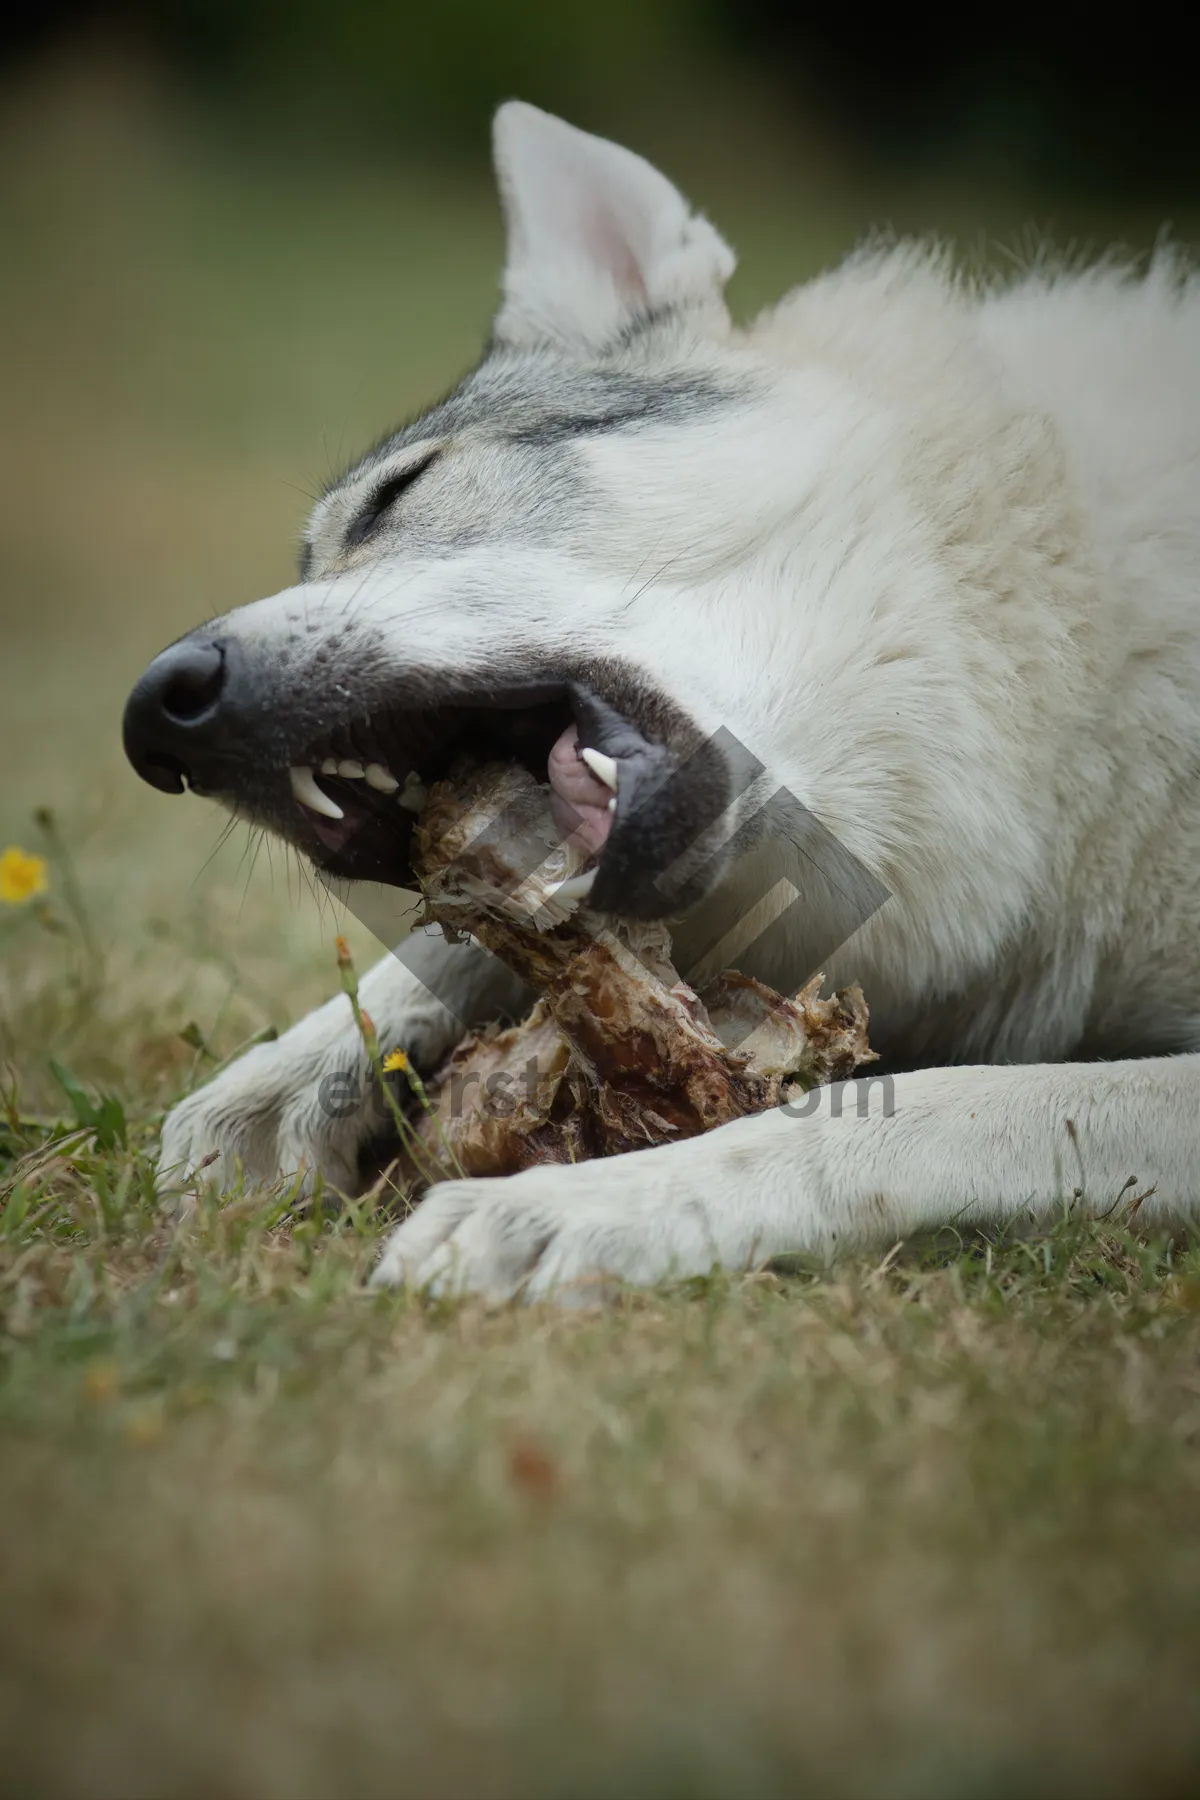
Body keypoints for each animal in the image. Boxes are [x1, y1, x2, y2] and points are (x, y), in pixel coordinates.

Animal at [124, 105, 1200, 1303]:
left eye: (399, 494)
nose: (154, 714)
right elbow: (462, 950)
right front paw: (286, 1080)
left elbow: (929, 1106)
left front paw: (593, 1207)